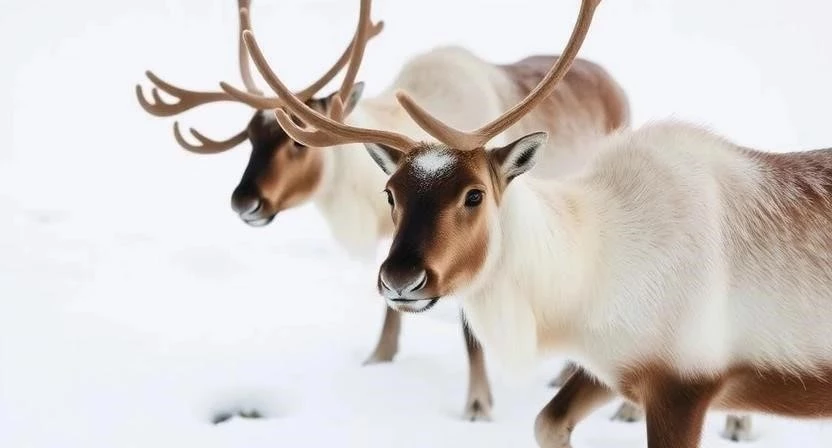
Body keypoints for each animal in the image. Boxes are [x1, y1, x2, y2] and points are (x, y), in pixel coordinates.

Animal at [135, 0, 642, 425]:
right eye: (249, 137)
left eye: (298, 142)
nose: (244, 201)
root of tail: (613, 82)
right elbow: (388, 305)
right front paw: (379, 356)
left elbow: (469, 334)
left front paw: (478, 406)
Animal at [253, 0, 832, 446]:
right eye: (391, 193)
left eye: (474, 194)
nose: (400, 278)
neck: (593, 271)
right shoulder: (615, 367)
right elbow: (546, 423)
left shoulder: (683, 384)